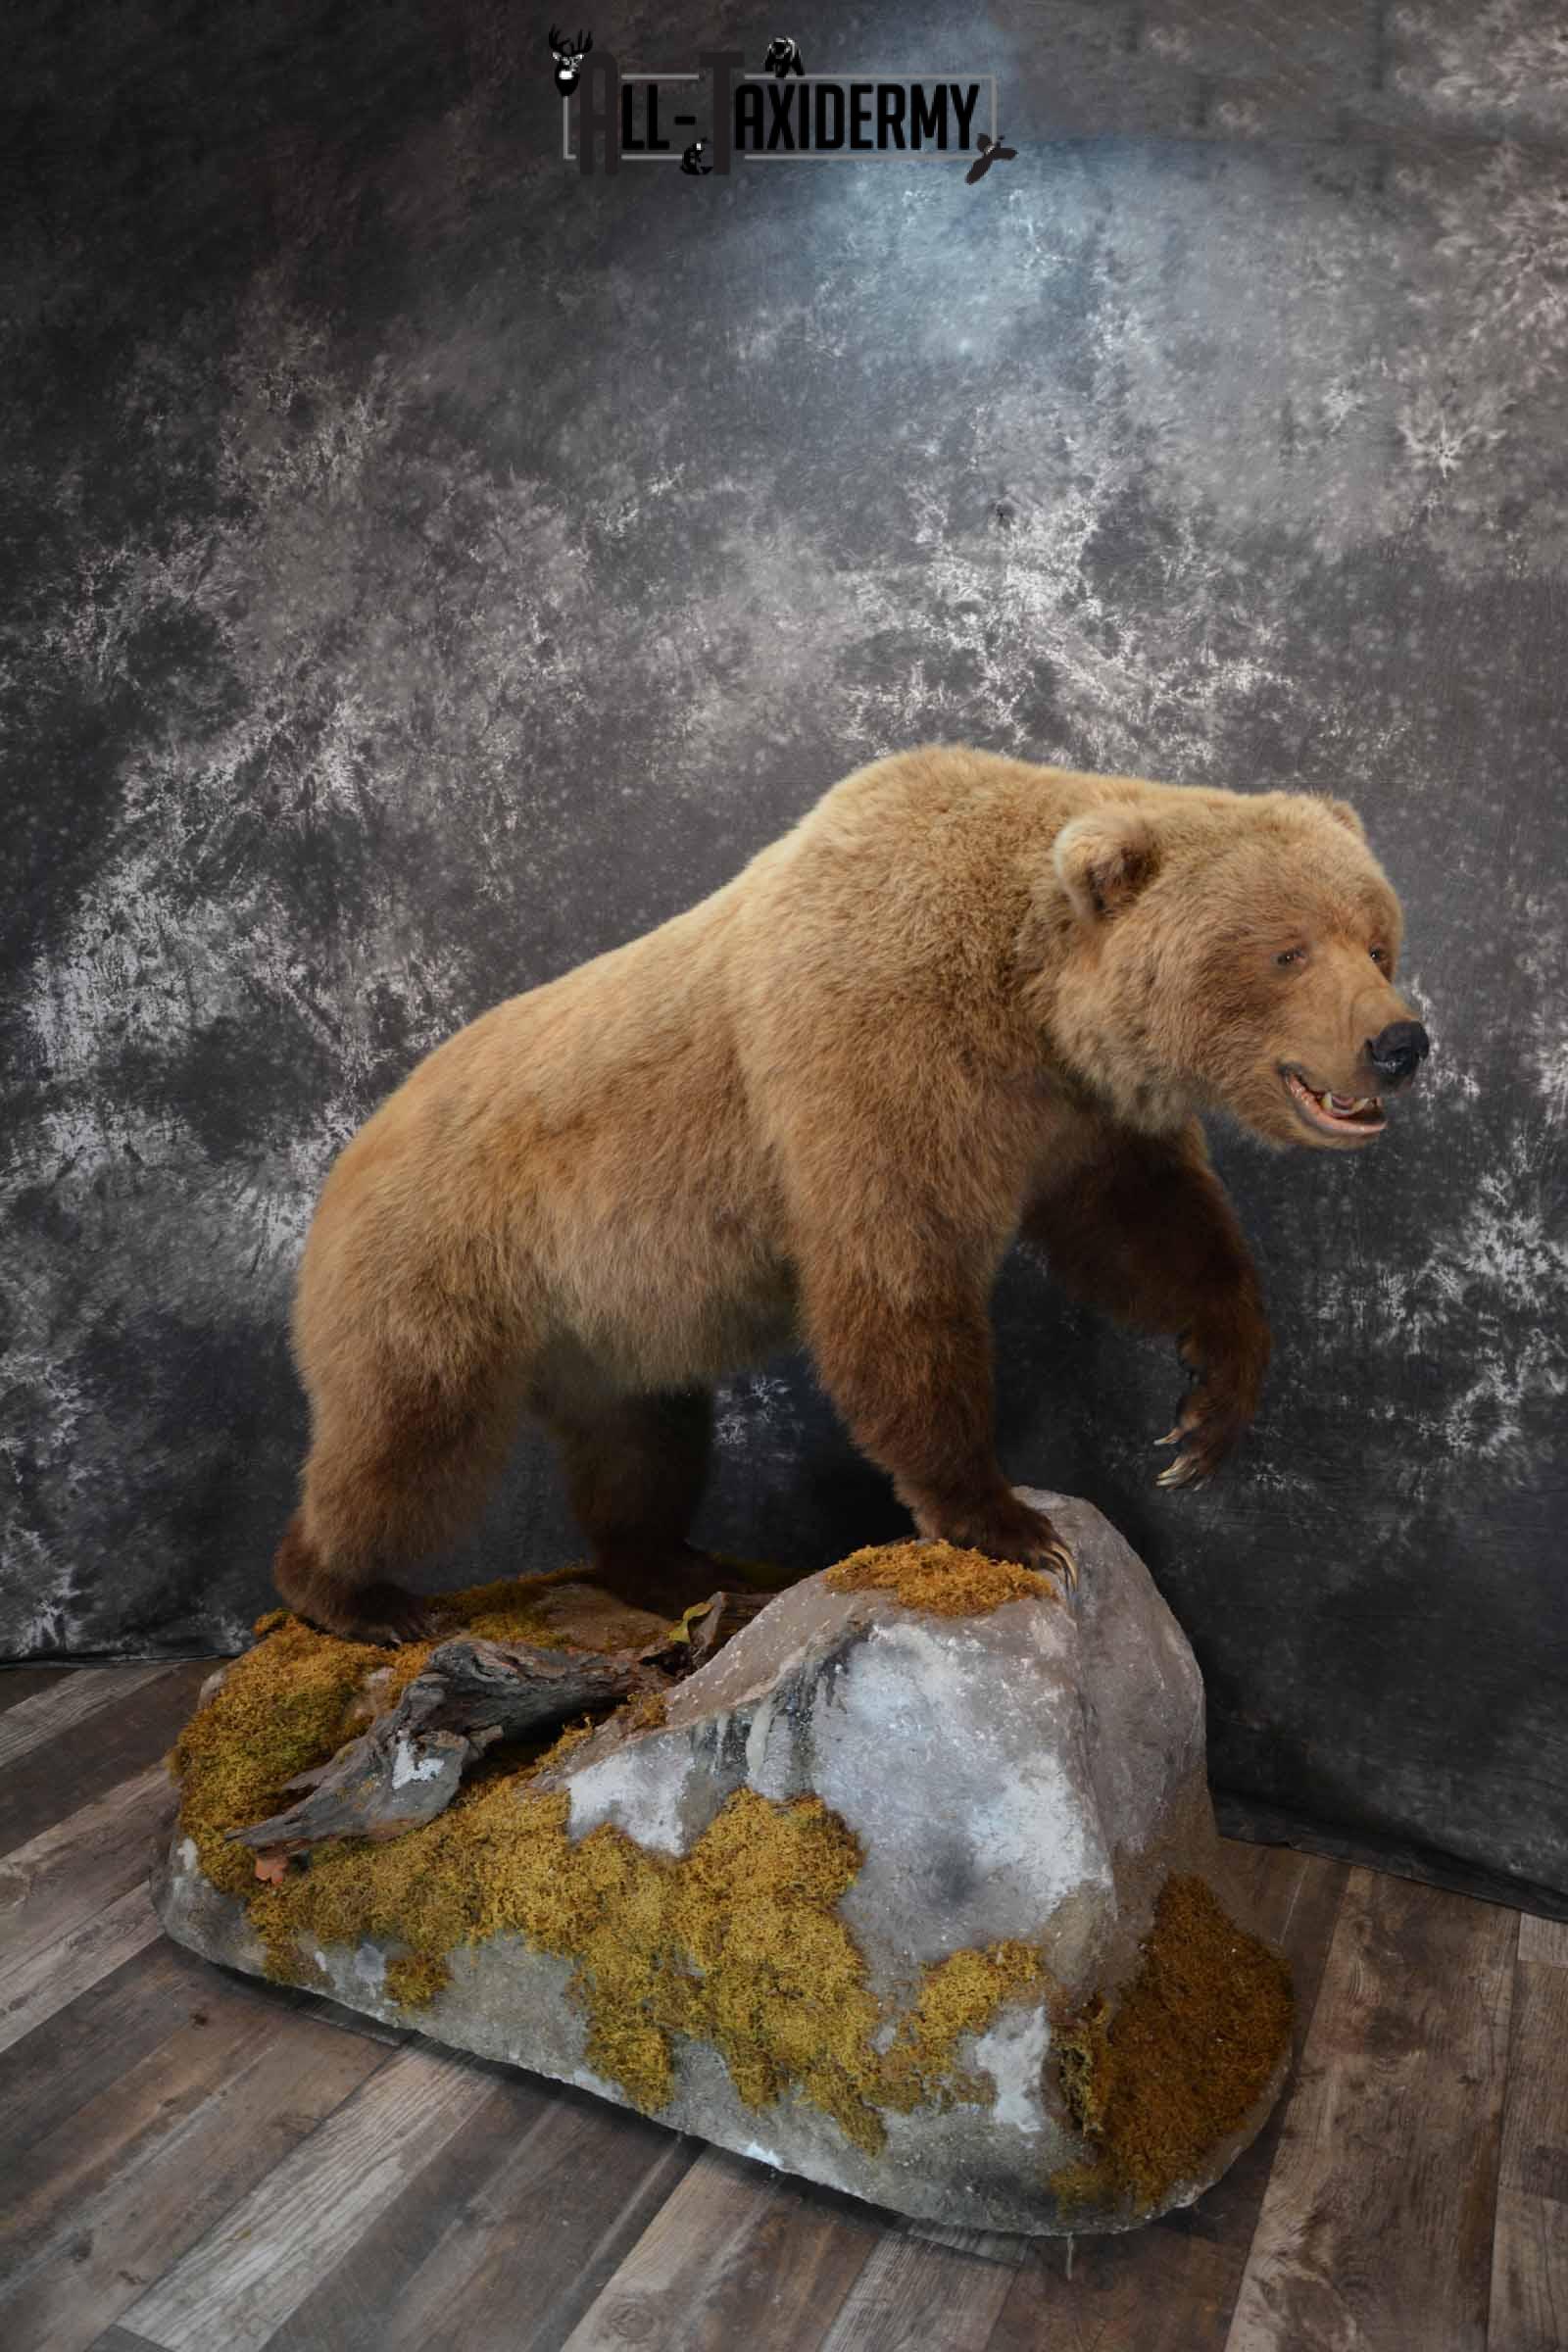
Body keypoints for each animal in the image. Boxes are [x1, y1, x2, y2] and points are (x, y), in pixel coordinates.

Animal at [272, 745, 1429, 1641]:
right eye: (1287, 950)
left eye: (1376, 938)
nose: (1400, 1040)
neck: (1028, 1003)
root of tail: (349, 1154)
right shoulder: (880, 1056)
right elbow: (898, 1283)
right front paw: (1009, 1521)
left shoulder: (1077, 1115)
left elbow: (1153, 1230)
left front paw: (1206, 1409)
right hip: (445, 1262)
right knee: (407, 1440)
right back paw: (355, 1594)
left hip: (608, 1325)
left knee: (641, 1441)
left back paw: (675, 1565)